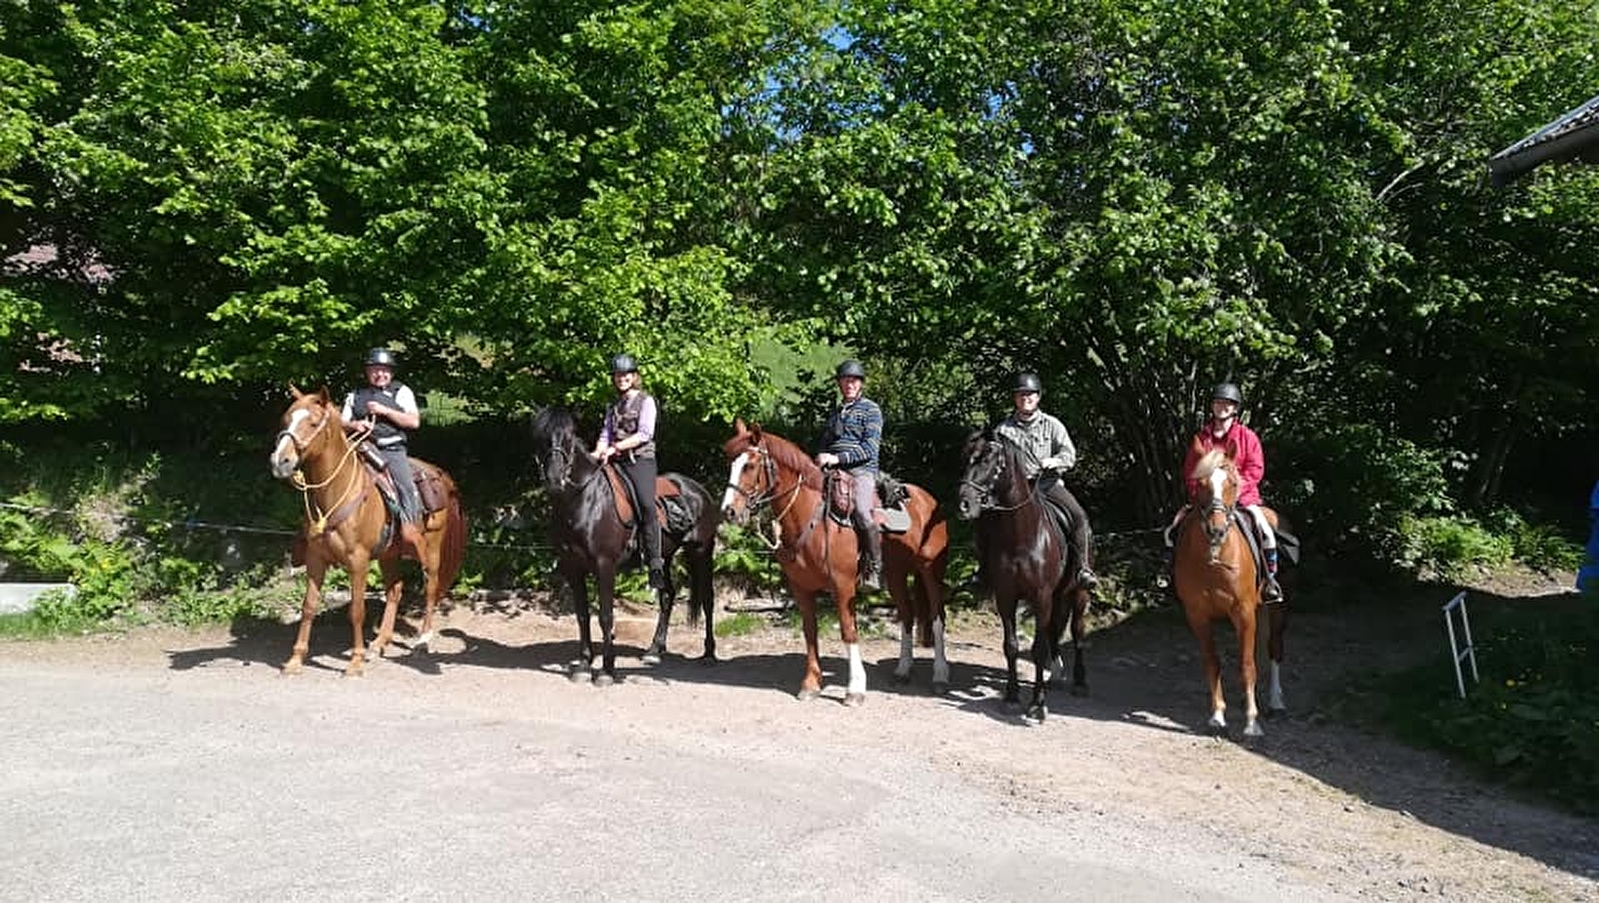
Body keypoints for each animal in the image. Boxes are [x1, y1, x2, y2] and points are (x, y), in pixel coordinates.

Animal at [268, 386, 468, 676]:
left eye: (314, 423)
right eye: (286, 420)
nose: (279, 461)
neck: (335, 493)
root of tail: (440, 475)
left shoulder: (358, 561)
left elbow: (357, 611)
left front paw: (355, 661)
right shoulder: (316, 559)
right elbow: (309, 606)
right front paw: (295, 660)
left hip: (430, 551)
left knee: (430, 588)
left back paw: (422, 640)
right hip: (389, 554)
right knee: (395, 590)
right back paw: (380, 643)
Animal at [529, 406, 718, 684]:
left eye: (569, 436)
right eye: (540, 437)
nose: (555, 479)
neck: (584, 501)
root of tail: (698, 490)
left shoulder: (604, 565)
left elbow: (606, 616)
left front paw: (607, 670)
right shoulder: (572, 567)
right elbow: (582, 615)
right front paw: (584, 664)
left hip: (702, 552)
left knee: (707, 599)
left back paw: (709, 653)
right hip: (662, 558)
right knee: (667, 595)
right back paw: (654, 650)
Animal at [720, 420, 950, 704]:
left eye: (750, 465)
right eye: (731, 463)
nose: (729, 511)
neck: (812, 517)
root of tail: (929, 500)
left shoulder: (843, 586)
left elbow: (848, 631)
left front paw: (855, 689)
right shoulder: (801, 588)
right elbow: (810, 632)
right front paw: (810, 684)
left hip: (931, 571)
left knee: (938, 617)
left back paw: (940, 676)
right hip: (896, 575)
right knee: (907, 615)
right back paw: (903, 670)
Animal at [955, 432, 1092, 724]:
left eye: (989, 462)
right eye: (966, 458)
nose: (964, 504)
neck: (1021, 537)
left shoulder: (1041, 597)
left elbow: (1038, 649)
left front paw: (1038, 704)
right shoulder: (1006, 597)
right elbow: (1011, 646)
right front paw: (1011, 697)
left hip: (1079, 593)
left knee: (1077, 633)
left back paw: (1079, 682)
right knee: (1054, 631)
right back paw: (1057, 675)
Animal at [1172, 446, 1289, 738]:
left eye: (1233, 483)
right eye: (1200, 483)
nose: (1216, 529)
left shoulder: (1243, 613)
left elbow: (1247, 666)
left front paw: (1251, 722)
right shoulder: (1197, 615)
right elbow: (1212, 662)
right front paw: (1217, 715)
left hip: (1277, 608)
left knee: (1275, 648)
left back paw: (1276, 703)